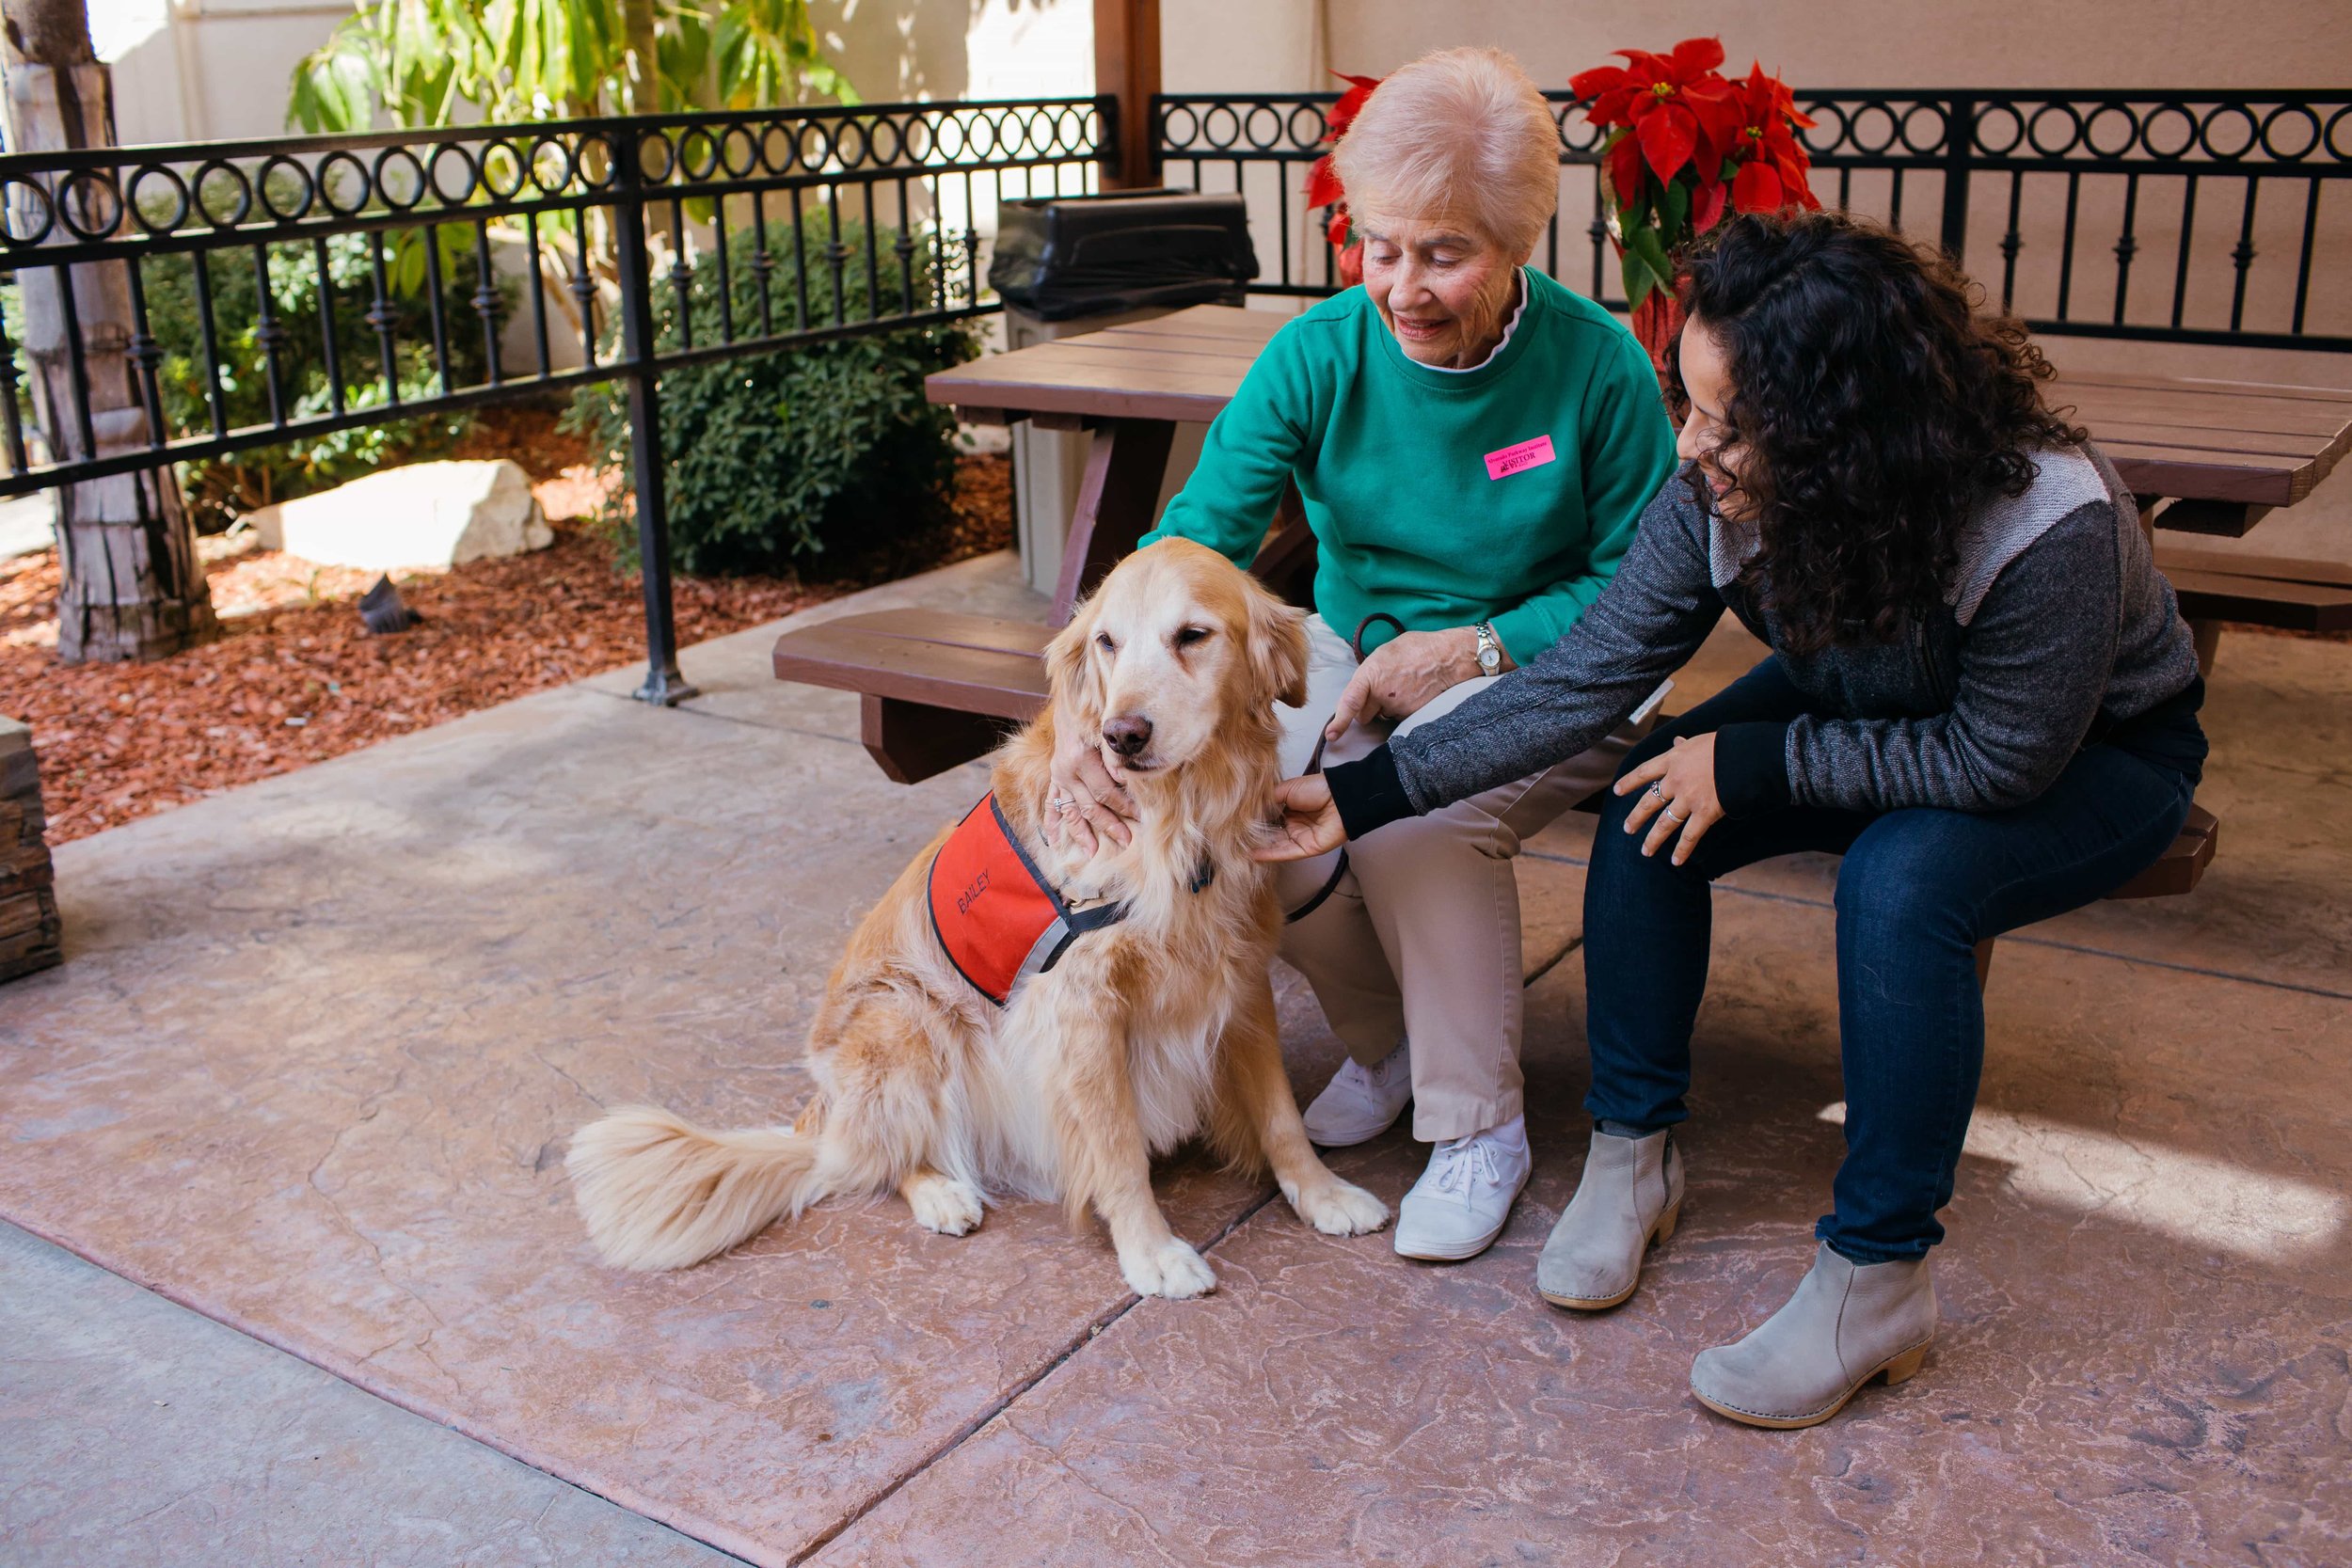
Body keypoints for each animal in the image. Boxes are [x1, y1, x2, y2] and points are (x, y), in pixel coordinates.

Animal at [562, 543, 1383, 1297]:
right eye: (1108, 642)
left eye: (1193, 635)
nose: (1122, 735)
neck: (1180, 816)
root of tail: (821, 1112)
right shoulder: (1080, 1008)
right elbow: (1116, 1144)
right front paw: (1151, 1252)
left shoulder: (1236, 970)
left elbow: (1279, 1109)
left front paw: (1322, 1192)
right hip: (906, 1019)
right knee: (873, 1157)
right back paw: (942, 1191)